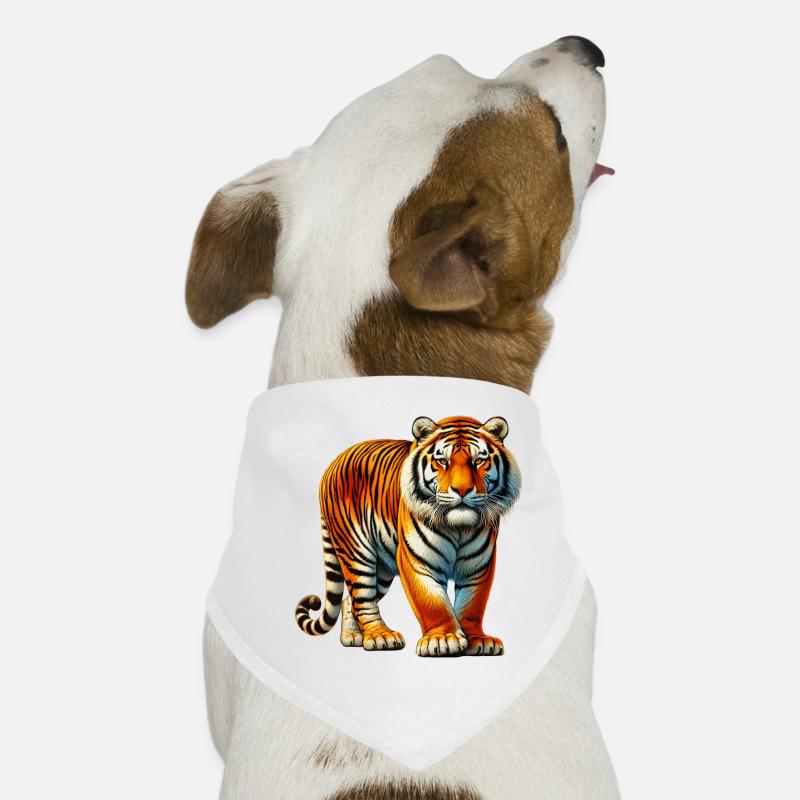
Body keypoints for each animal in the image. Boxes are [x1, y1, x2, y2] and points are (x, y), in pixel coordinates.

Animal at [295, 415, 521, 657]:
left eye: (479, 461)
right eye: (442, 461)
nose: (461, 490)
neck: (458, 527)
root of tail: (333, 463)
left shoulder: (479, 566)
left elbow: (473, 604)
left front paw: (477, 640)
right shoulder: (417, 561)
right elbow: (432, 603)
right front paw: (443, 639)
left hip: (382, 568)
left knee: (349, 600)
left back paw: (352, 637)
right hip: (355, 551)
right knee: (363, 599)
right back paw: (379, 636)